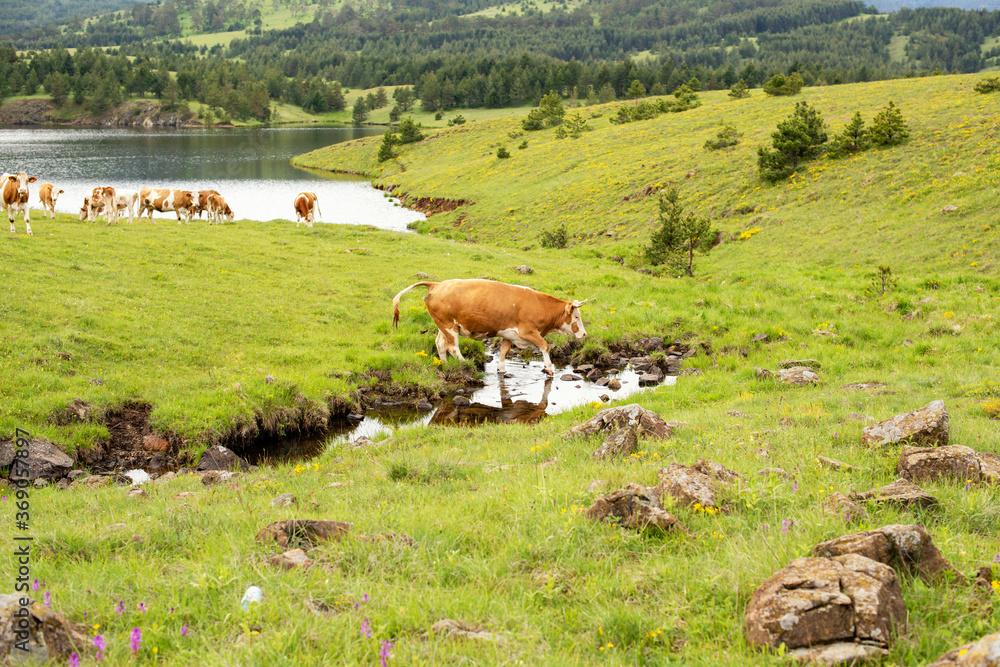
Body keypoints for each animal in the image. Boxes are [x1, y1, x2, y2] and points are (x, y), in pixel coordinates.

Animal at [392, 279, 590, 375]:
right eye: (577, 316)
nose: (584, 334)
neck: (538, 305)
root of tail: (437, 284)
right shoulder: (528, 331)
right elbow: (545, 346)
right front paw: (549, 368)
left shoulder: (509, 334)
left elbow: (503, 351)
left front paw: (501, 369)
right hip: (449, 326)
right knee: (452, 346)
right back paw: (465, 363)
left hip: (443, 325)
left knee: (440, 344)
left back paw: (446, 365)